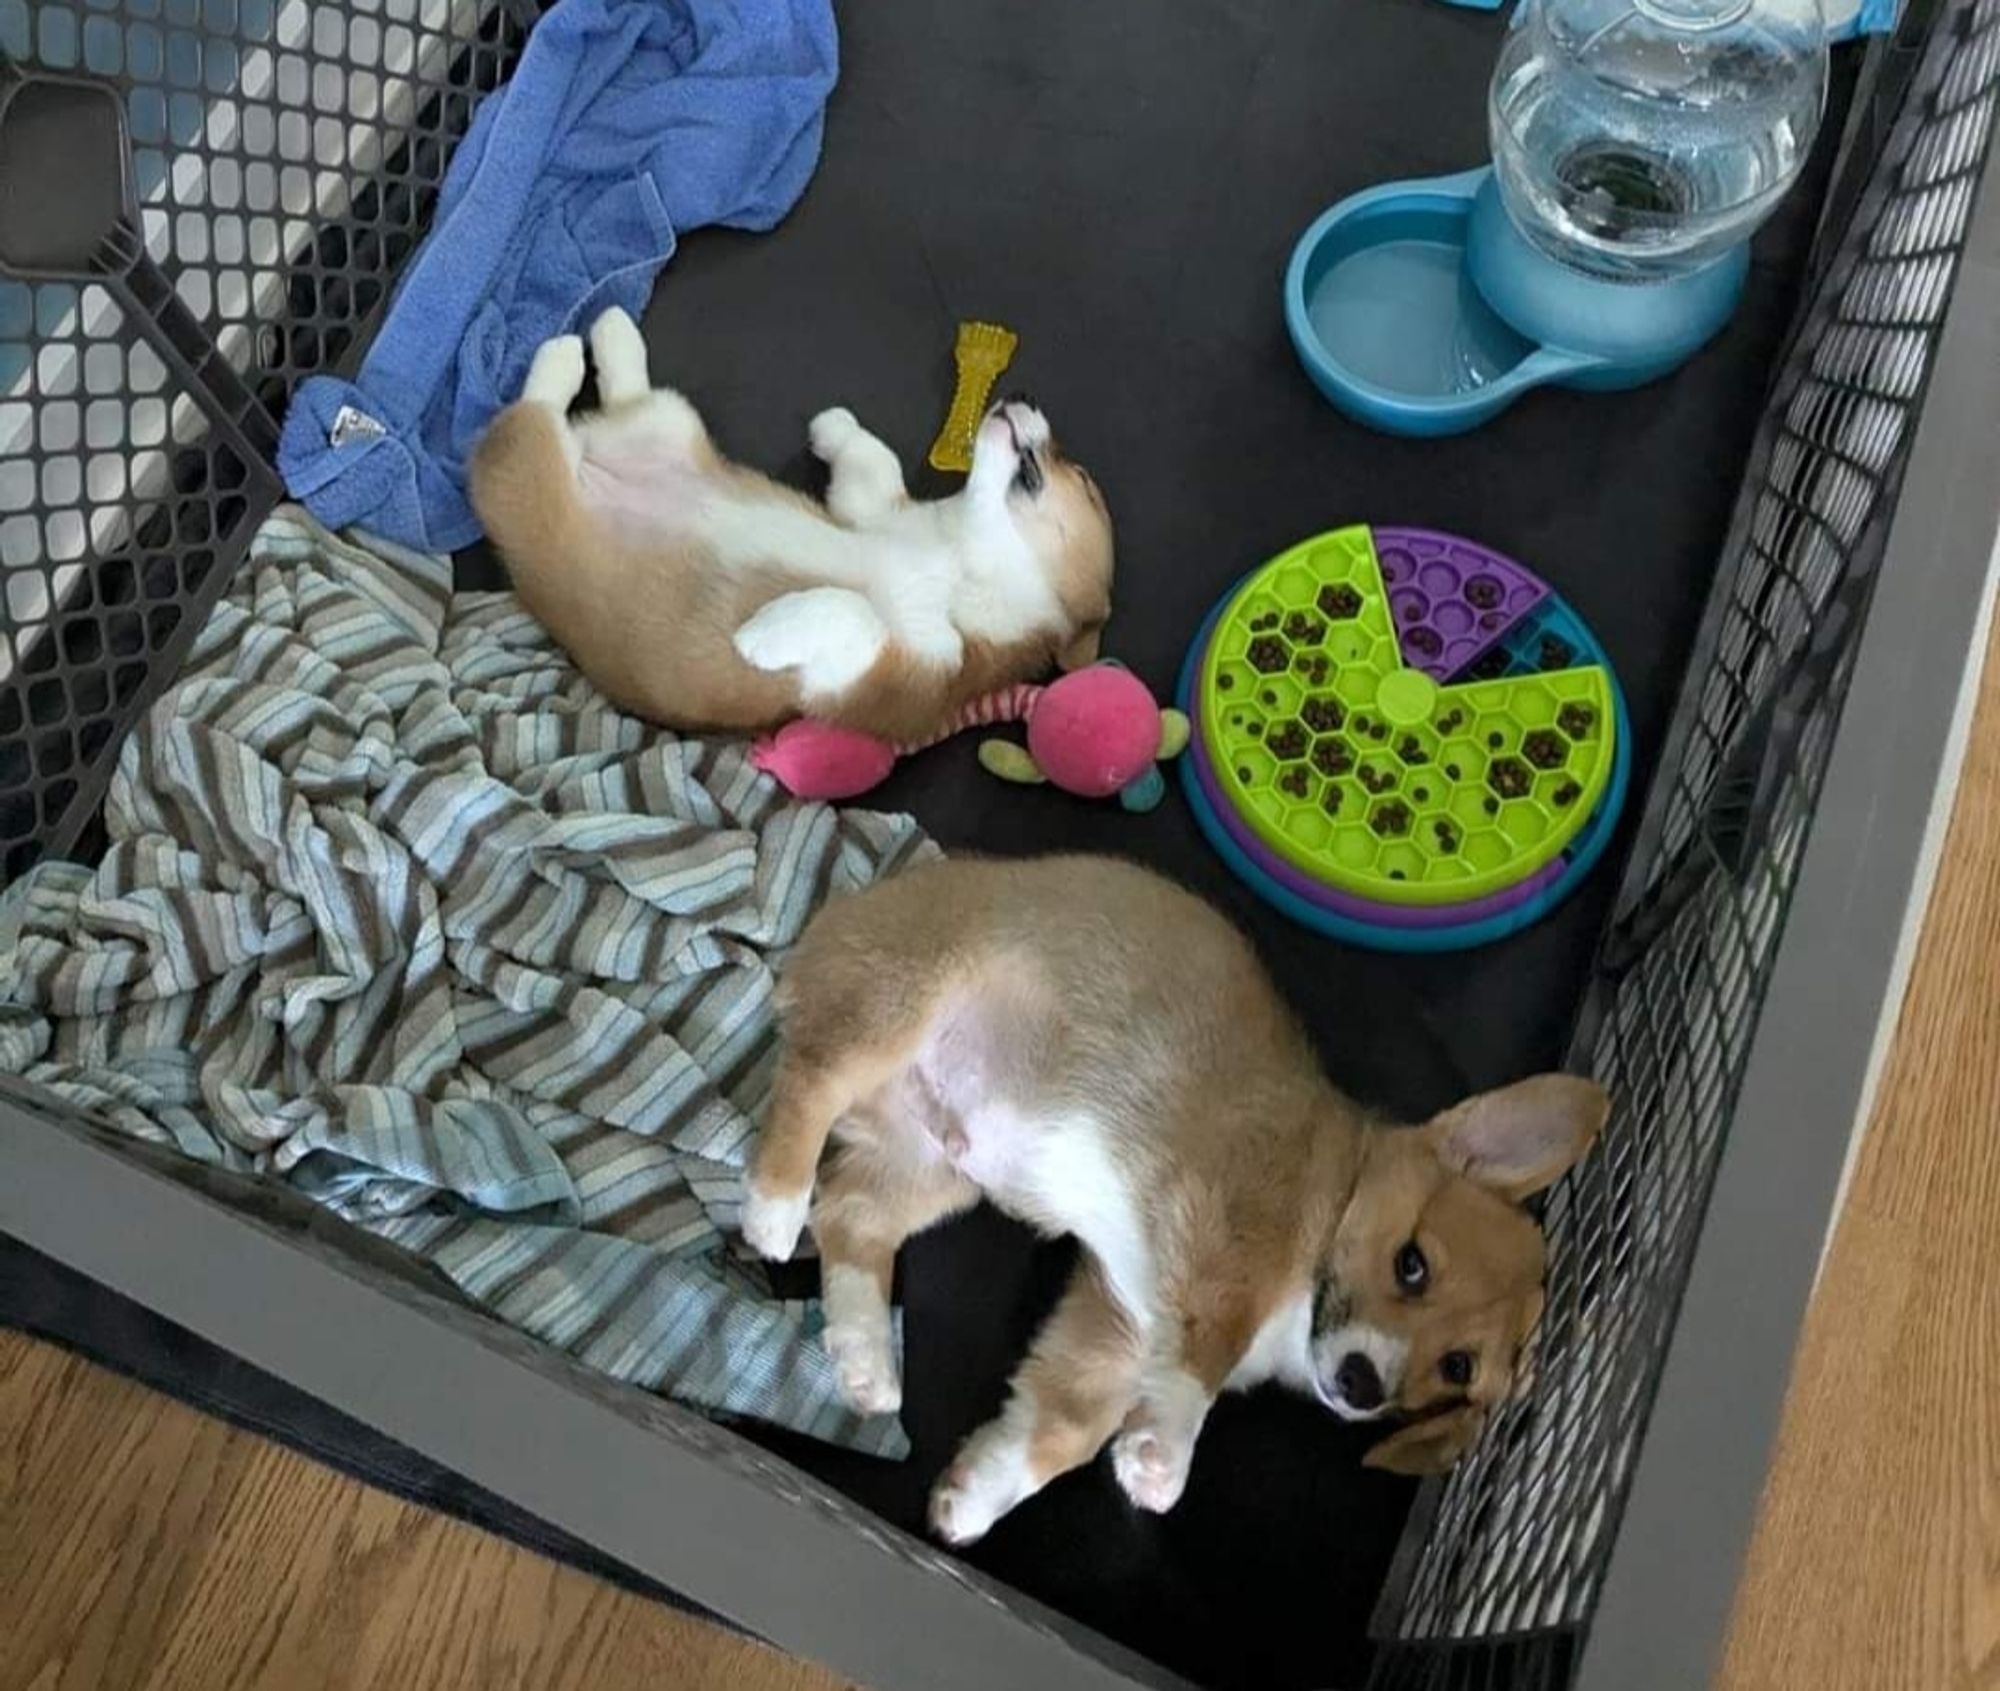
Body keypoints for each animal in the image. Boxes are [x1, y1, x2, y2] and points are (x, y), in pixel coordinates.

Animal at [474, 313, 1120, 747]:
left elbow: (853, 611)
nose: (1024, 392)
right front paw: (834, 427)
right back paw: (606, 334)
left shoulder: (891, 676)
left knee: (528, 418)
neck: (951, 549)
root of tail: (588, 458)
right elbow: (871, 458)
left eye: (1085, 480)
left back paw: (568, 353)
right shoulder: (872, 508)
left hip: (533, 468)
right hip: (664, 421)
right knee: (615, 394)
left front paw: (763, 634)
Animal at [748, 859, 1608, 1551]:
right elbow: (1204, 1357)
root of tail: (852, 904)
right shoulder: (1220, 1253)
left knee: (851, 1215)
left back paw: (866, 1359)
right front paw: (1164, 1459)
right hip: (900, 1009)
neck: (1331, 1206)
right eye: (1412, 1265)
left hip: (936, 1167)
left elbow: (1057, 1432)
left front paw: (976, 1498)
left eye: (1457, 1368)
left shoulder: (1116, 1327)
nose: (1362, 1384)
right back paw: (772, 1205)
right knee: (810, 1086)